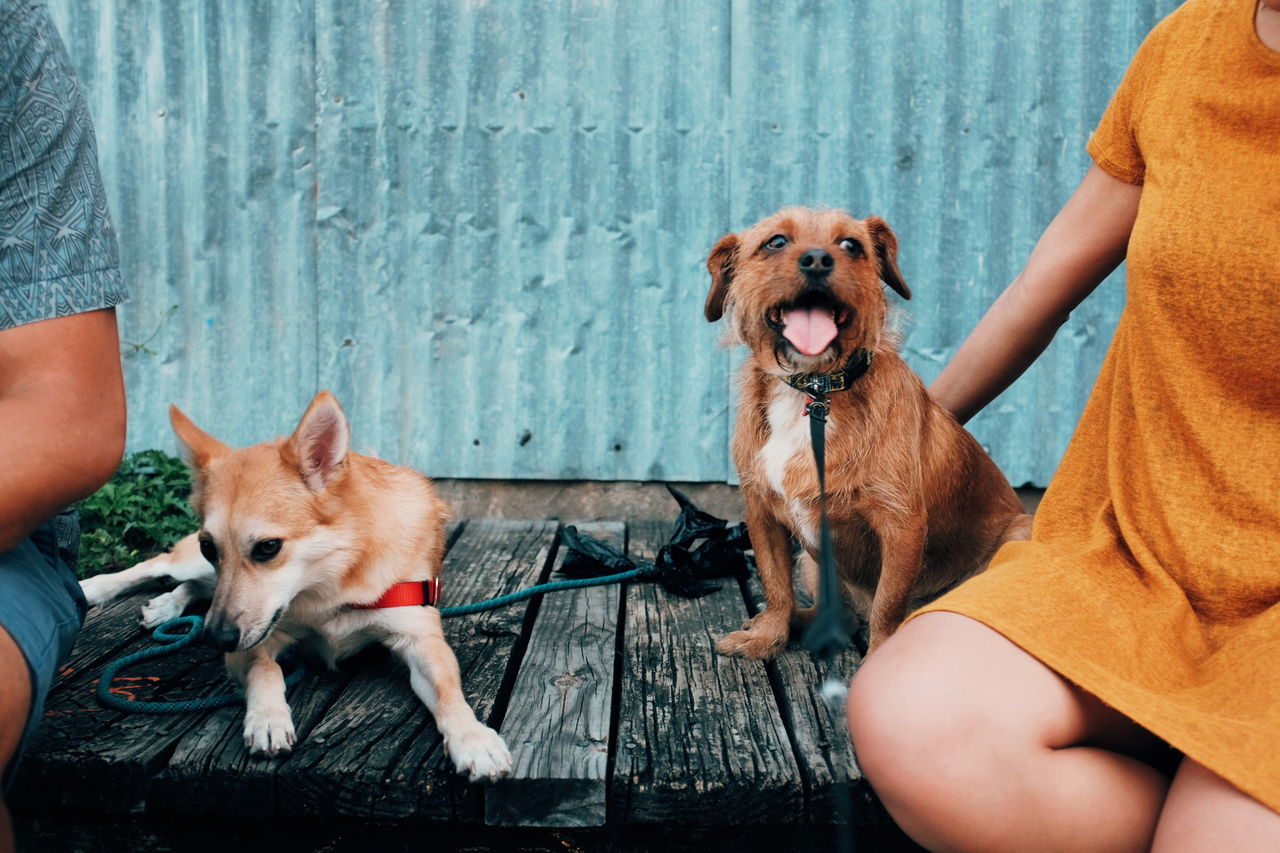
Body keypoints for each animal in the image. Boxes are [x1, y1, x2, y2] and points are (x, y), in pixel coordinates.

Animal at [77, 391, 509, 778]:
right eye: (209, 545)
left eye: (268, 547)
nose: (214, 639)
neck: (333, 582)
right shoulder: (255, 641)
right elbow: (265, 669)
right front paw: (268, 716)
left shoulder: (421, 642)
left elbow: (450, 692)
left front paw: (473, 738)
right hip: (191, 564)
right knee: (158, 565)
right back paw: (96, 589)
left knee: (196, 588)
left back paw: (166, 605)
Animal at [706, 207, 1034, 655]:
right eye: (775, 242)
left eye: (850, 245)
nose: (817, 259)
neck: (816, 390)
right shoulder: (762, 512)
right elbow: (776, 586)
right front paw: (767, 636)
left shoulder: (901, 527)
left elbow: (888, 606)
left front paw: (879, 654)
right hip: (811, 562)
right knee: (838, 611)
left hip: (1019, 532)